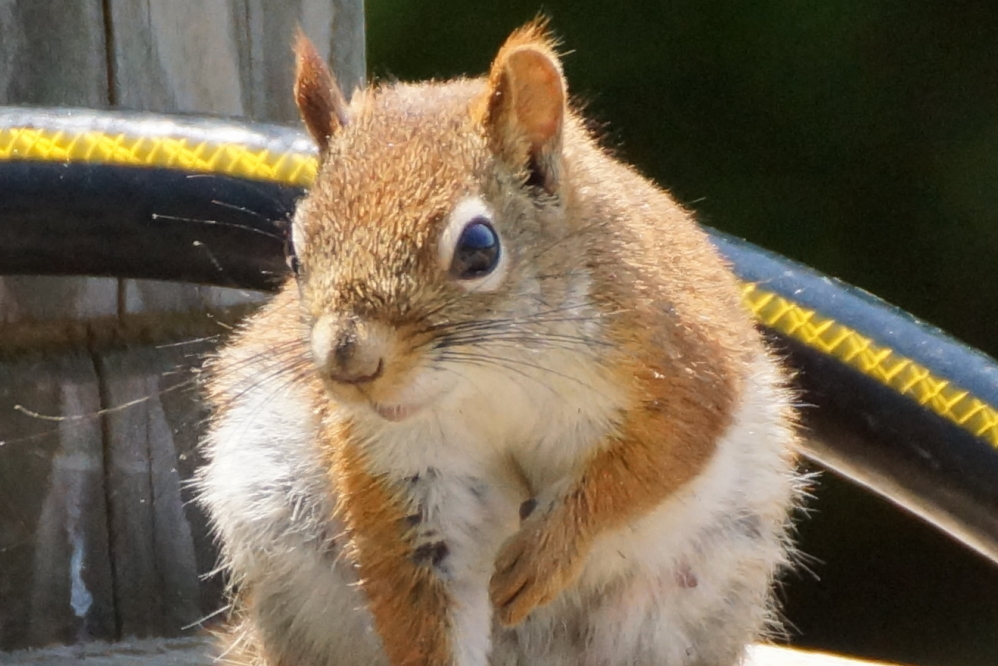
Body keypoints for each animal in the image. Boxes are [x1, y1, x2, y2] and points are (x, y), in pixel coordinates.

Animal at [197, 20, 801, 666]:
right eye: (294, 252)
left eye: (479, 248)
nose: (349, 363)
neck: (494, 375)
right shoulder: (405, 467)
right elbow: (423, 587)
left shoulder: (674, 358)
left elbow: (653, 460)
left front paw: (549, 551)